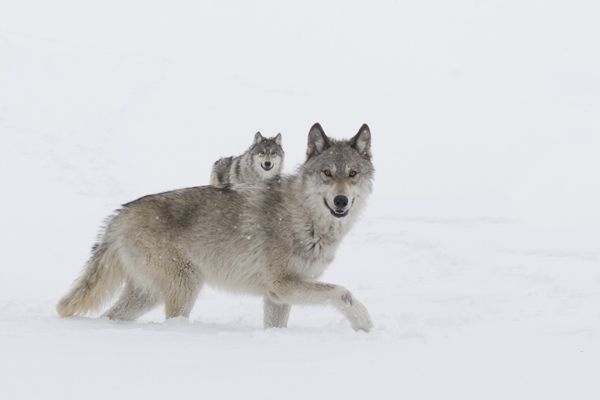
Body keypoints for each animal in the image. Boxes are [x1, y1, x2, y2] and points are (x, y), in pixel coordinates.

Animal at [57, 122, 376, 332]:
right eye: (327, 173)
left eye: (352, 173)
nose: (341, 200)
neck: (306, 217)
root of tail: (119, 214)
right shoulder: (283, 285)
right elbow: (343, 292)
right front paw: (364, 323)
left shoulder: (277, 297)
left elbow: (276, 326)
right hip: (185, 286)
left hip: (147, 294)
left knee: (110, 316)